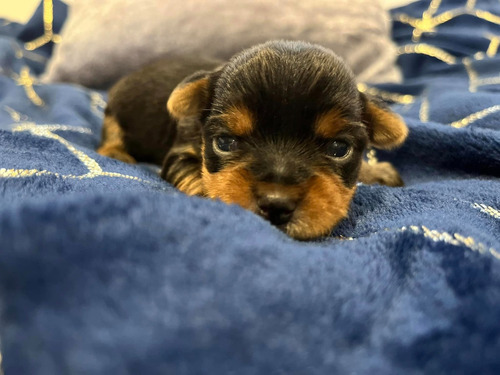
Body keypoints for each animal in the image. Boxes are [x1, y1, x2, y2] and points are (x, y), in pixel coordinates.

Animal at [99, 40, 408, 241]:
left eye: (339, 148)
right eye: (225, 142)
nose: (276, 204)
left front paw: (375, 171)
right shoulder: (181, 153)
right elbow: (198, 179)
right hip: (115, 110)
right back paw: (116, 152)